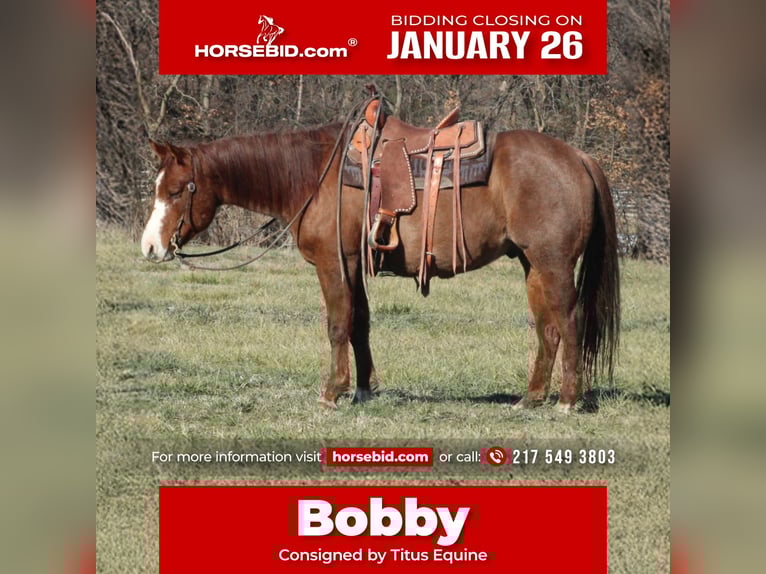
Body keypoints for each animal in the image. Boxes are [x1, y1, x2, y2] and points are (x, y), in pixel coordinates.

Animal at [140, 117, 620, 413]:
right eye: (159, 187)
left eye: (178, 190)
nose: (149, 247)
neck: (314, 175)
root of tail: (578, 157)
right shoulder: (355, 264)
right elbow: (360, 324)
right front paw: (364, 390)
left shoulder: (333, 263)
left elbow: (337, 324)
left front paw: (332, 392)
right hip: (532, 265)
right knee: (548, 329)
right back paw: (532, 397)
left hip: (553, 264)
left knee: (570, 323)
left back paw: (567, 400)